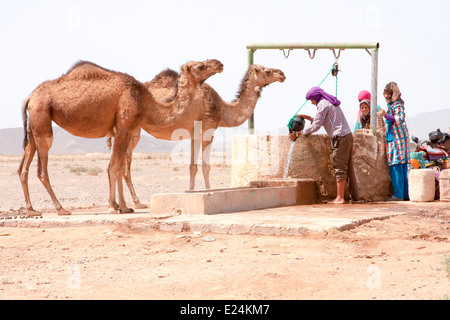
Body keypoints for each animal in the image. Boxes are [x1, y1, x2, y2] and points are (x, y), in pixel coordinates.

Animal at [18, 58, 223, 216]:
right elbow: (114, 167)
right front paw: (113, 207)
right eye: (200, 66)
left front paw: (123, 207)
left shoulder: (125, 130)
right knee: (42, 169)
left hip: (34, 125)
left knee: (23, 167)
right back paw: (61, 209)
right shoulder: (124, 128)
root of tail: (30, 97)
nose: (219, 63)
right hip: (42, 117)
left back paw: (32, 210)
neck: (146, 102)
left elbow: (119, 167)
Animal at [115, 64, 284, 208]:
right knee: (124, 167)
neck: (223, 109)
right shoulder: (208, 129)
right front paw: (209, 192)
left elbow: (192, 166)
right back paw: (136, 203)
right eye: (267, 71)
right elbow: (205, 166)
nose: (282, 74)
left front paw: (191, 192)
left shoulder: (193, 134)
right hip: (133, 130)